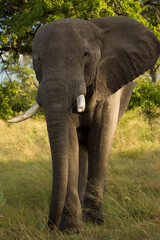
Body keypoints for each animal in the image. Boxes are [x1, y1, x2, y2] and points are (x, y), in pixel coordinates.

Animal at [8, 16, 160, 232]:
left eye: (85, 54)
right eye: (38, 60)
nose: (49, 226)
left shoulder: (108, 82)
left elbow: (100, 140)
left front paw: (95, 222)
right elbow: (69, 142)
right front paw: (71, 229)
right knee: (81, 149)